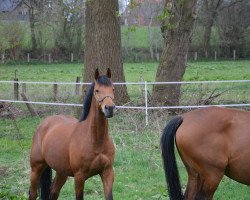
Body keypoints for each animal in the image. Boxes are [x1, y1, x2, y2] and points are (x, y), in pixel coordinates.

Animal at [28, 69, 116, 200]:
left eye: (113, 89)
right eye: (97, 90)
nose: (109, 108)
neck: (95, 140)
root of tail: (43, 124)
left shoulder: (108, 172)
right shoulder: (79, 177)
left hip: (61, 172)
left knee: (53, 192)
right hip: (36, 169)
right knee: (33, 193)